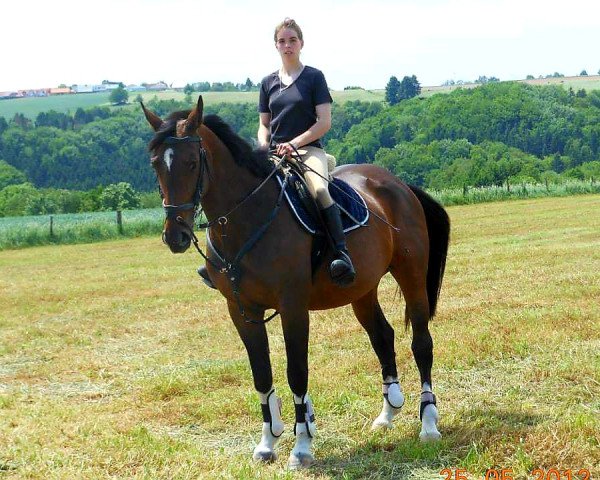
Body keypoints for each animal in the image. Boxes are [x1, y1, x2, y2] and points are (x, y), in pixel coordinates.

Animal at [142, 96, 450, 468]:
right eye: (156, 165)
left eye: (190, 163)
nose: (175, 236)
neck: (248, 219)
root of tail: (399, 185)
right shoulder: (242, 311)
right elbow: (262, 374)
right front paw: (267, 442)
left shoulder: (292, 308)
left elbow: (296, 371)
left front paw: (302, 445)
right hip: (361, 289)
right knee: (382, 336)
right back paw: (387, 412)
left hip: (412, 276)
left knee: (421, 343)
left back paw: (428, 423)